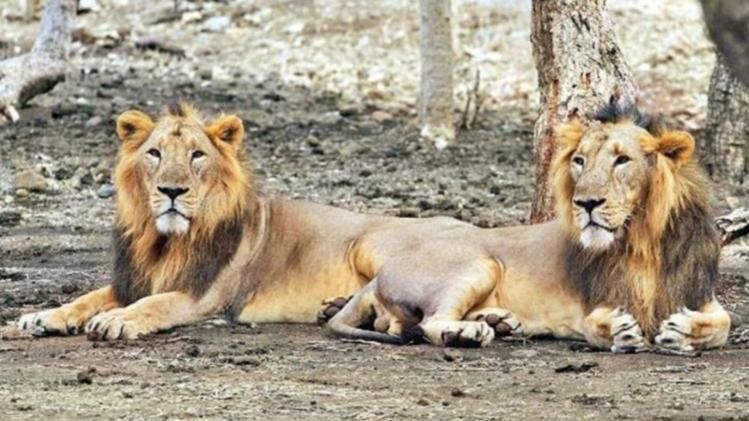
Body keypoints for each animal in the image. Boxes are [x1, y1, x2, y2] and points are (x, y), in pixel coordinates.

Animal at [17, 102, 500, 342]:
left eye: (197, 155)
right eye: (154, 153)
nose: (172, 190)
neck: (164, 241)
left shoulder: (205, 296)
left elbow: (155, 304)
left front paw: (117, 321)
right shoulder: (131, 279)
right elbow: (87, 297)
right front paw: (43, 316)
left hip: (372, 244)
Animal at [323, 103, 731, 352]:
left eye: (622, 160)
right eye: (580, 161)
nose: (585, 203)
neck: (642, 240)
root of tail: (382, 274)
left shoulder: (698, 293)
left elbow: (724, 322)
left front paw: (684, 330)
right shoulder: (590, 306)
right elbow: (596, 325)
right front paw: (619, 331)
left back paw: (498, 320)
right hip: (479, 263)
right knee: (430, 323)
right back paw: (469, 332)